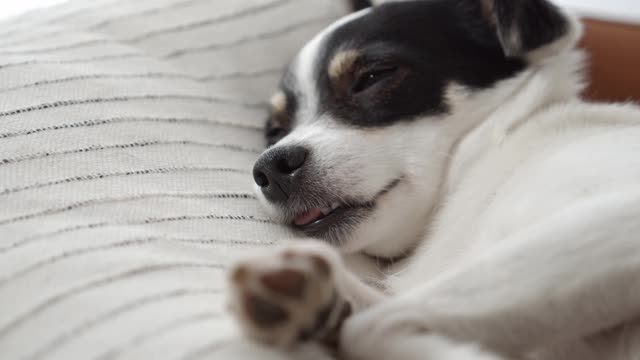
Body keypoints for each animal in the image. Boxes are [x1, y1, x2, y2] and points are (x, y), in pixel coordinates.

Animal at [228, 1, 640, 358]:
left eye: (372, 77)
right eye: (275, 131)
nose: (270, 167)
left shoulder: (618, 222)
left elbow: (375, 326)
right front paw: (324, 301)